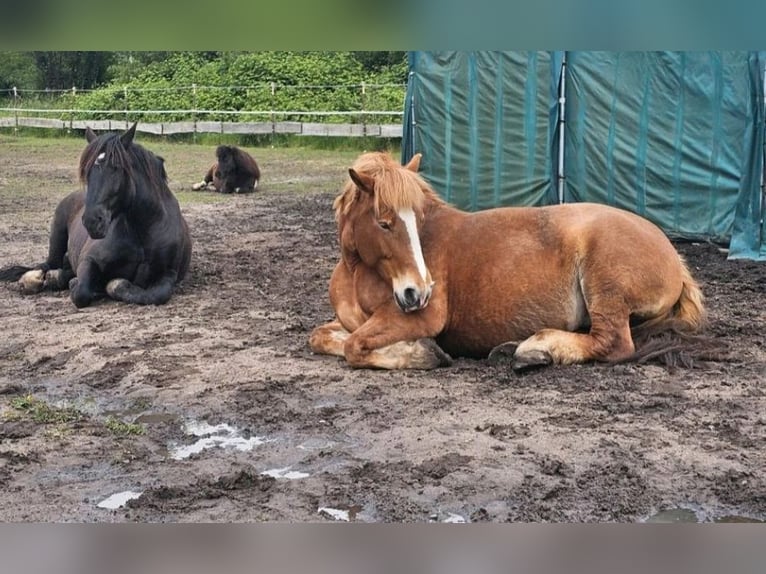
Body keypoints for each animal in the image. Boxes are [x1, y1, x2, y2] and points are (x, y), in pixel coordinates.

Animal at [0, 123, 192, 308]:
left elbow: (155, 295)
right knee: (47, 266)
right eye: (87, 171)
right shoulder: (89, 259)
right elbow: (81, 292)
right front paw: (80, 284)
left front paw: (112, 285)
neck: (141, 231)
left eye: (117, 168)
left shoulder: (168, 274)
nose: (92, 222)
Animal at [308, 152, 712, 374]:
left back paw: (536, 349)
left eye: (417, 217)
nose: (418, 292)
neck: (359, 272)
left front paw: (423, 353)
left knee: (612, 342)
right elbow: (322, 337)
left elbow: (354, 347)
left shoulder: (419, 319)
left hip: (605, 284)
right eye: (384, 222)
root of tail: (674, 258)